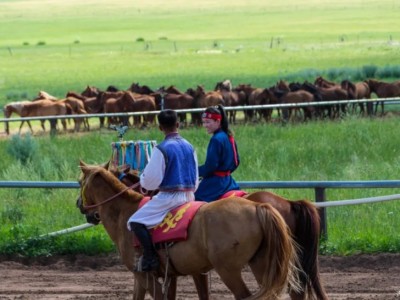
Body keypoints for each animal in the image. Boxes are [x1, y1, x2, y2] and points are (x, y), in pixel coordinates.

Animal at [76, 162, 300, 300]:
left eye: (79, 182)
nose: (80, 205)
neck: (125, 212)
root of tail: (258, 207)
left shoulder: (144, 275)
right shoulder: (157, 275)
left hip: (229, 270)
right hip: (262, 265)